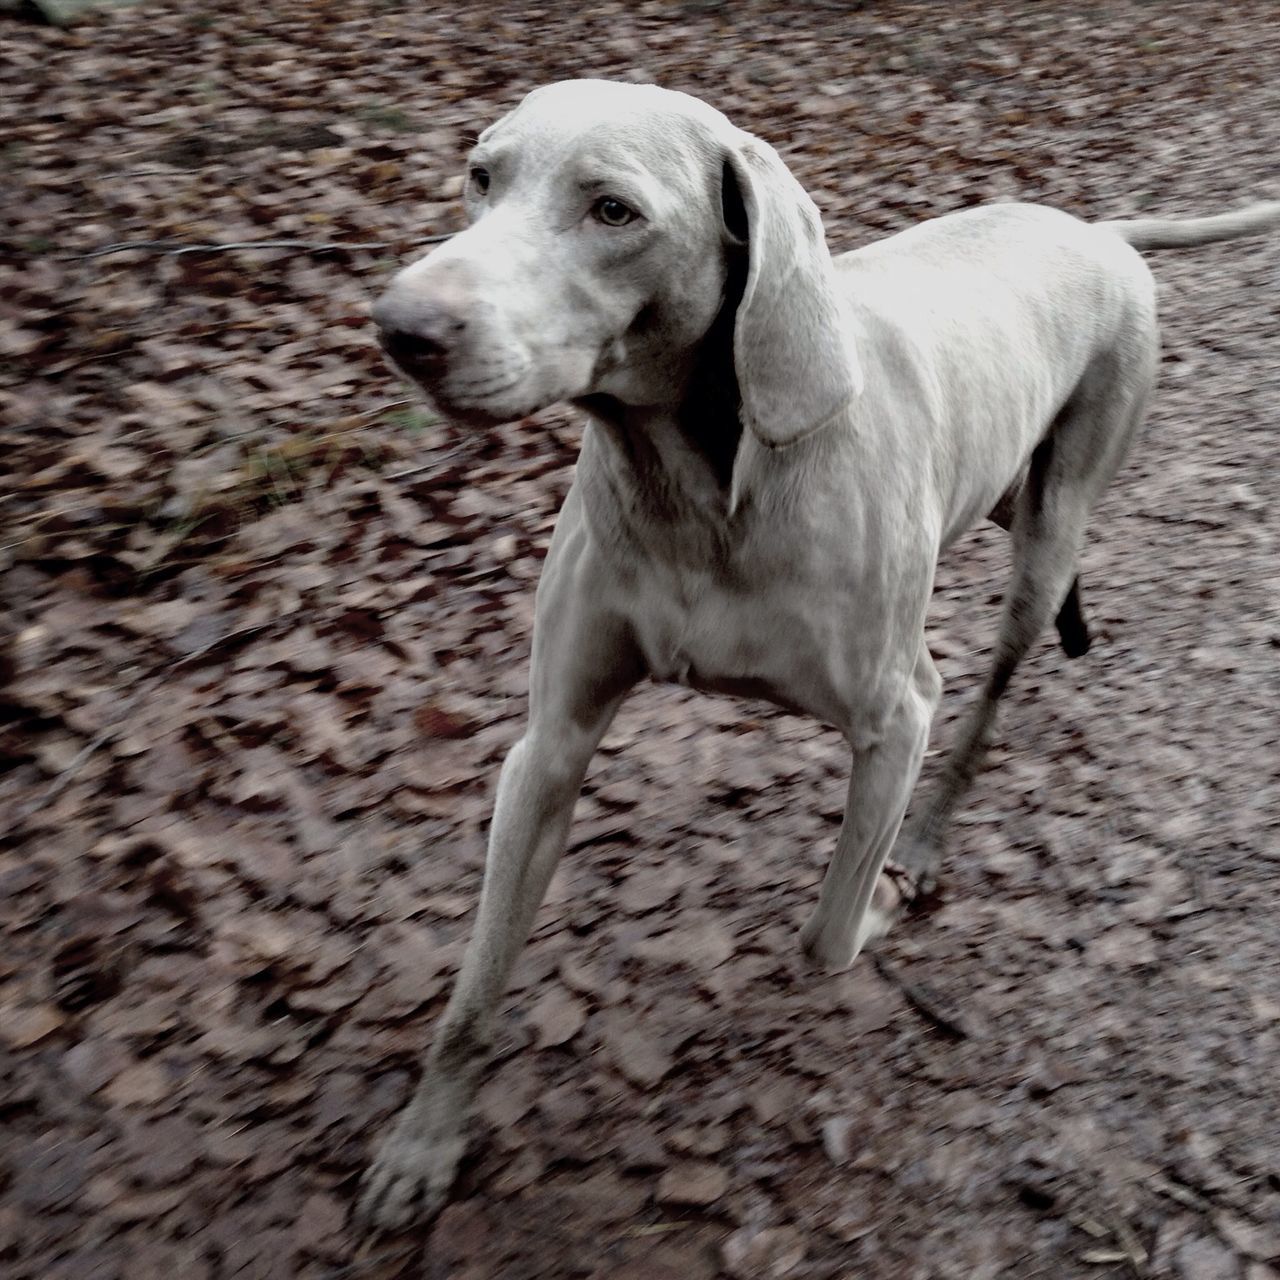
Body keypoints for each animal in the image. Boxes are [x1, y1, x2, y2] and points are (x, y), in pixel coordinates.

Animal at [358, 80, 1280, 1228]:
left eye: (613, 211)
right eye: (481, 176)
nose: (400, 327)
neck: (697, 496)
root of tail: (1095, 230)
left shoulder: (898, 713)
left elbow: (828, 931)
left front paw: (877, 897)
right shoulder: (549, 745)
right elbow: (476, 982)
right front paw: (420, 1143)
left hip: (1054, 512)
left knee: (996, 681)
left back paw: (925, 840)